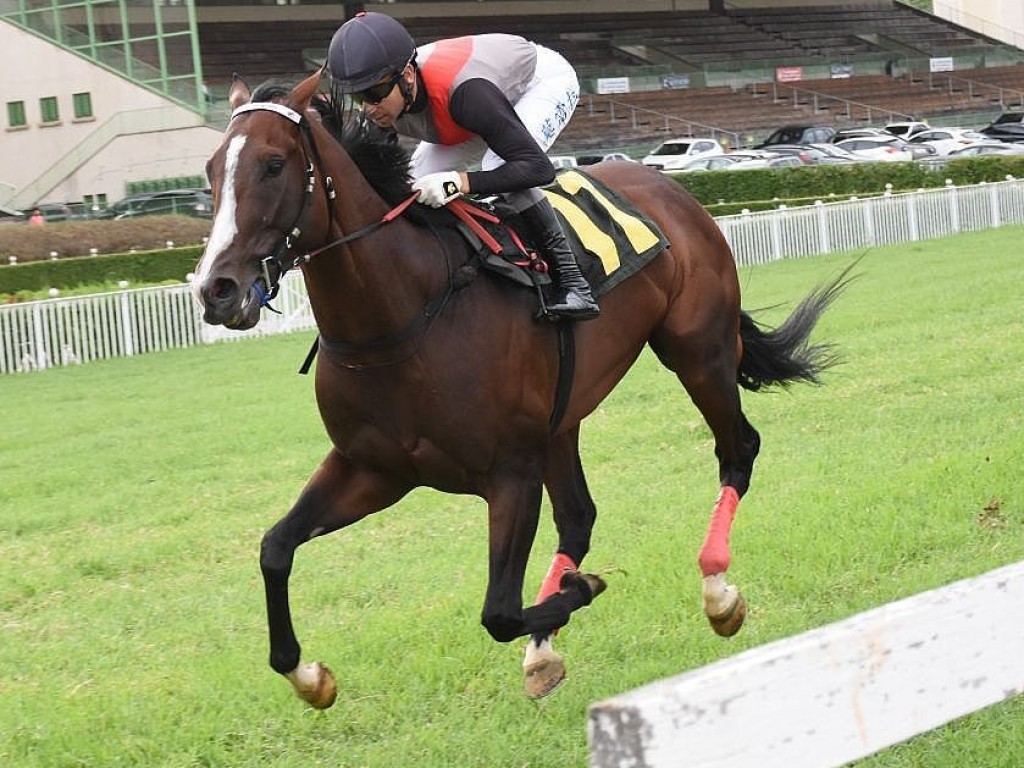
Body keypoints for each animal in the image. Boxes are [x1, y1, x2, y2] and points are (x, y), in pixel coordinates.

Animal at [192, 72, 847, 708]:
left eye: (274, 164)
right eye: (211, 169)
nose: (216, 289)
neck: (402, 317)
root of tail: (668, 187)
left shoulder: (510, 473)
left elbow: (499, 612)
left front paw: (582, 589)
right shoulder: (372, 468)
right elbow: (275, 547)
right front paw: (308, 676)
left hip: (698, 352)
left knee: (737, 450)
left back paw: (716, 591)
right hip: (561, 417)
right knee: (579, 516)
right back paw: (546, 647)